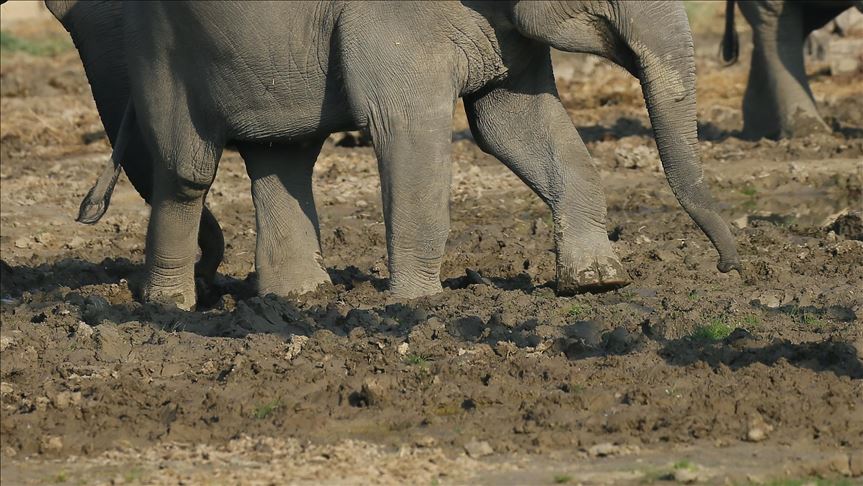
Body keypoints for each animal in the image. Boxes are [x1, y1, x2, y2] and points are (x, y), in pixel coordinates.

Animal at [111, 0, 740, 310]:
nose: (729, 266)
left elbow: (514, 123)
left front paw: (597, 283)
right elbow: (408, 126)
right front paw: (416, 304)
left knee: (280, 152)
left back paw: (300, 296)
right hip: (158, 47)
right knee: (187, 170)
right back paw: (169, 306)